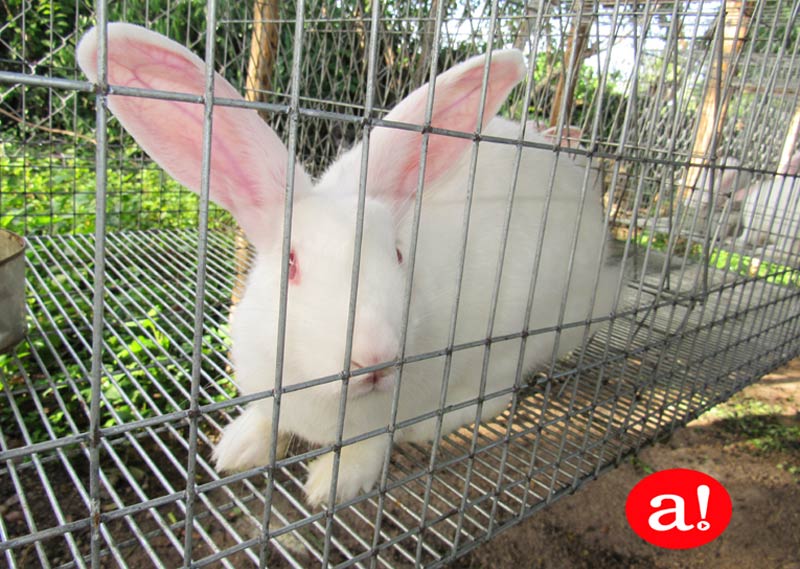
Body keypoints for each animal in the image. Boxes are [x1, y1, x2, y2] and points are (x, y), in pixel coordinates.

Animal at [77, 23, 618, 506]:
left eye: (398, 254)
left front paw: (331, 484)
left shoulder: (388, 415)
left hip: (522, 332)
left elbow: (371, 446)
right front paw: (235, 447)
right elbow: (266, 418)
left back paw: (430, 425)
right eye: (291, 264)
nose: (373, 359)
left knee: (496, 394)